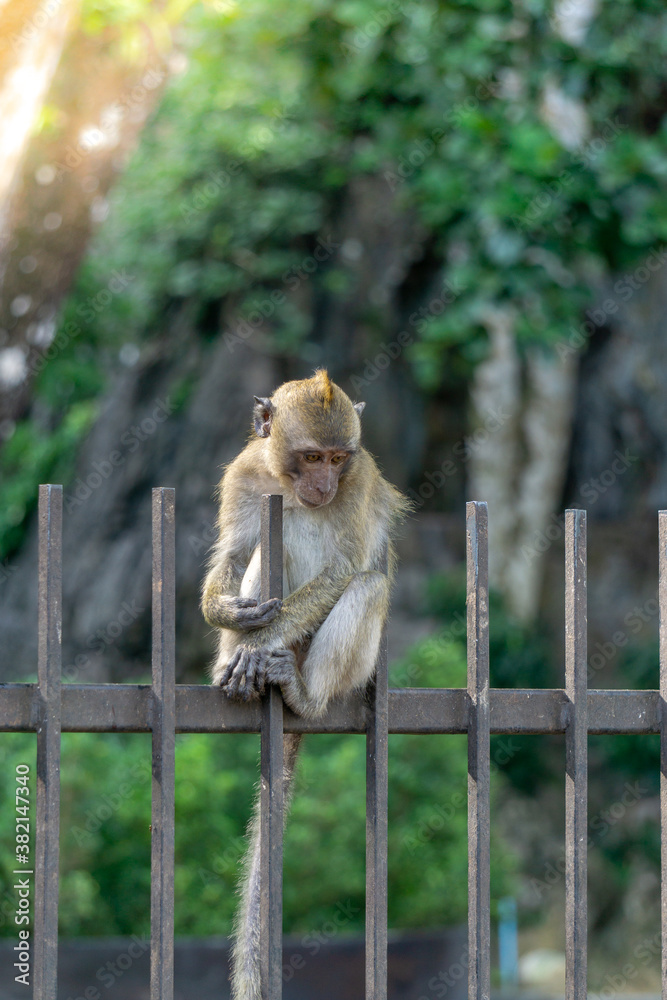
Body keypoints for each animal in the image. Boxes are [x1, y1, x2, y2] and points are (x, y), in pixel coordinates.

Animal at [201, 369, 409, 1000]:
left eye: (338, 459)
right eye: (312, 456)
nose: (324, 482)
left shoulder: (360, 480)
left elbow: (344, 570)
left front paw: (257, 645)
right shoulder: (246, 473)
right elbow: (236, 551)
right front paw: (222, 612)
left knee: (368, 583)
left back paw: (298, 690)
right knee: (268, 543)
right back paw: (238, 667)